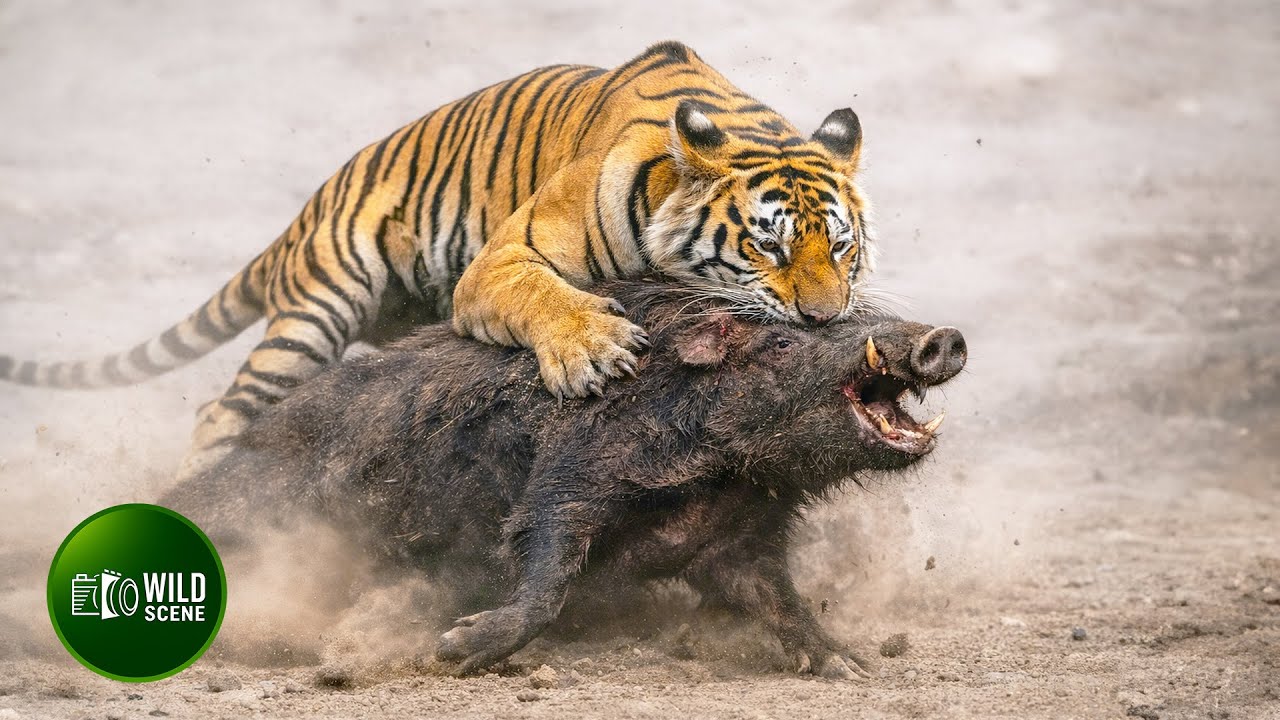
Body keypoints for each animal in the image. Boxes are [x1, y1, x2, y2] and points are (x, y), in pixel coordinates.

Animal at [0, 41, 878, 477]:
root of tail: (307, 210)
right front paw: (591, 350)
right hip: (320, 307)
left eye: (841, 248)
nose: (822, 317)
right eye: (766, 245)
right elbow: (543, 297)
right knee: (218, 409)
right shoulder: (501, 260)